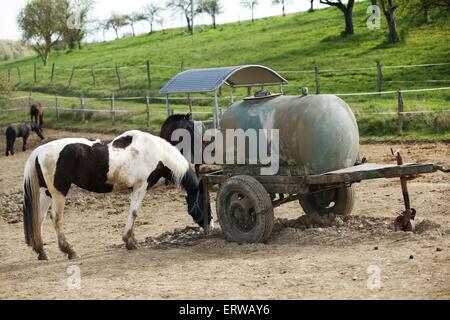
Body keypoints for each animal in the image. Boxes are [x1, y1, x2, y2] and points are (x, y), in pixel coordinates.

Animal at [23, 130, 214, 260]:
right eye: (205, 204)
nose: (210, 226)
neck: (156, 152)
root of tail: (39, 151)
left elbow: (133, 213)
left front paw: (133, 239)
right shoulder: (141, 186)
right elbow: (134, 212)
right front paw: (129, 241)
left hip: (46, 192)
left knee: (39, 218)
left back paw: (41, 252)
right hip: (59, 192)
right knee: (55, 218)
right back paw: (69, 250)